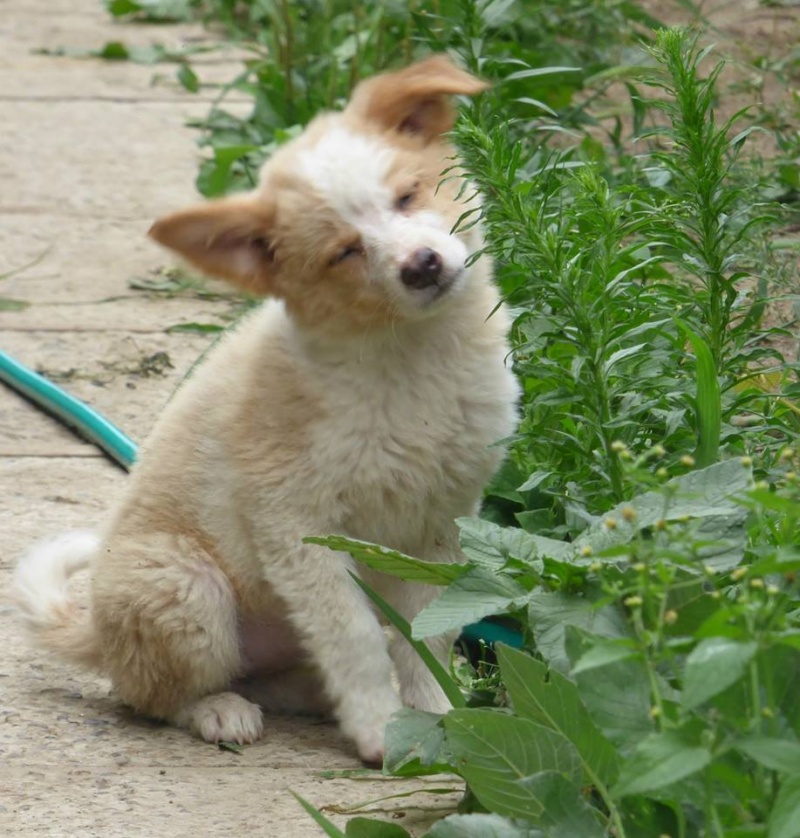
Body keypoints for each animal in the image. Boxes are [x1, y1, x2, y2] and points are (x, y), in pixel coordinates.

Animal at [17, 54, 524, 768]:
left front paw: (436, 717)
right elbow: (356, 639)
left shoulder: (442, 520)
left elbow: (425, 633)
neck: (408, 357)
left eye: (408, 195)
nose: (422, 265)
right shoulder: (297, 526)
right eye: (344, 251)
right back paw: (218, 711)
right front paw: (380, 730)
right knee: (152, 695)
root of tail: (99, 633)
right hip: (185, 587)